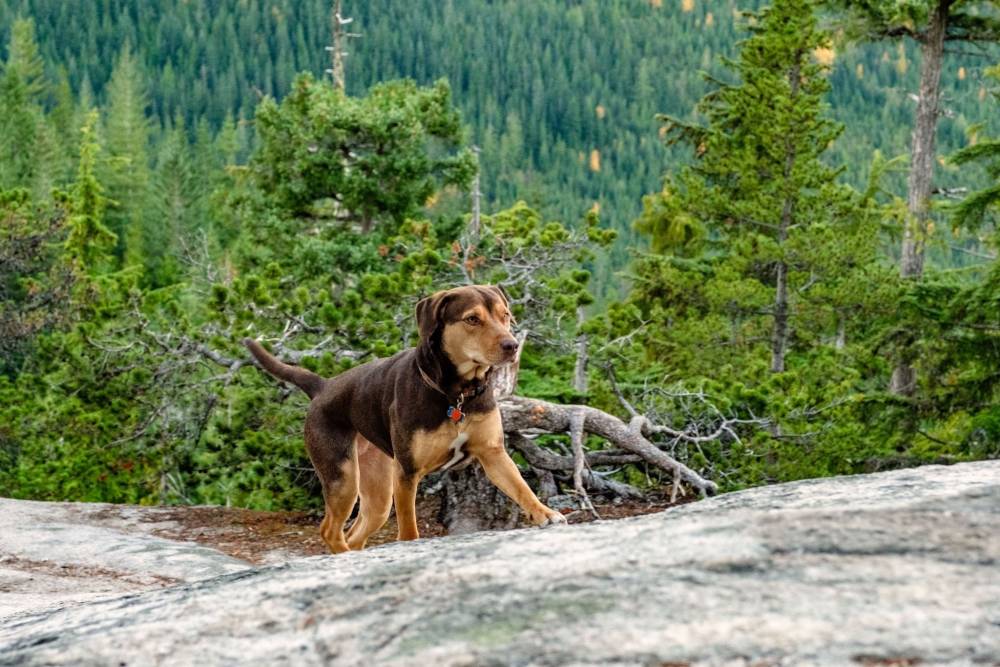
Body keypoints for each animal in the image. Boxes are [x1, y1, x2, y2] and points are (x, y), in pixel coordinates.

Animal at [244, 284, 564, 552]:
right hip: (342, 477)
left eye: (505, 315)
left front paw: (544, 513)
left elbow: (521, 487)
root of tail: (324, 386)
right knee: (330, 531)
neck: (456, 393)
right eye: (472, 319)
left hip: (378, 495)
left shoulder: (493, 453)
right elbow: (409, 527)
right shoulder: (408, 472)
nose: (512, 346)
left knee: (355, 533)